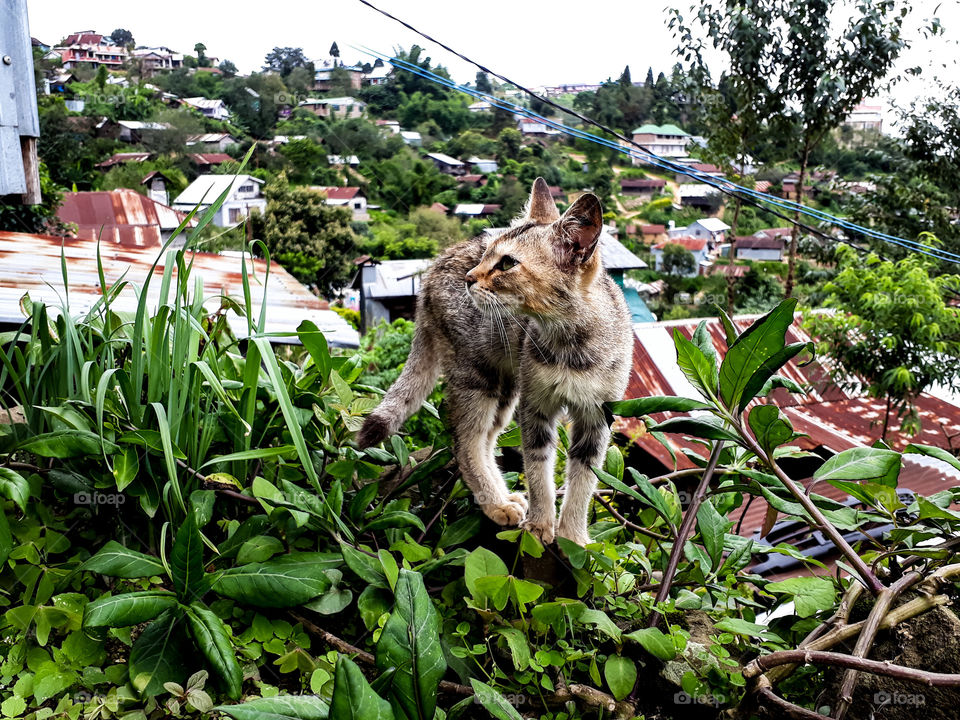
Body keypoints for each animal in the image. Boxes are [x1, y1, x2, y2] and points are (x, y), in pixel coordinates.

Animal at [356, 177, 632, 544]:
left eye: (507, 263)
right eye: (488, 254)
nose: (470, 277)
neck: (570, 344)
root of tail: (432, 270)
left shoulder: (596, 417)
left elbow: (584, 480)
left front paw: (573, 535)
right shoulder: (536, 407)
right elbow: (537, 468)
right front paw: (540, 525)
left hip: (506, 387)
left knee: (487, 439)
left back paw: (502, 496)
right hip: (478, 376)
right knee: (466, 441)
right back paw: (496, 503)